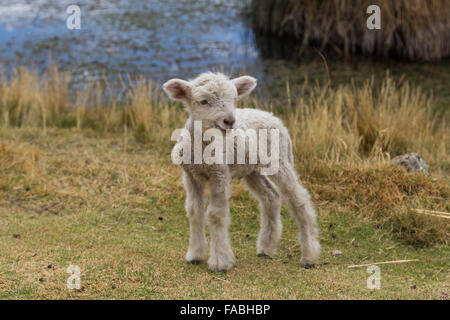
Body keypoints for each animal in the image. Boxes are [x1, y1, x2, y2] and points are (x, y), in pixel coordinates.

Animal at [162, 72, 320, 272]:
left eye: (234, 99)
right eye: (203, 101)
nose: (230, 121)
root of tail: (273, 116)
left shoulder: (219, 174)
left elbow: (215, 215)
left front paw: (220, 262)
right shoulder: (191, 175)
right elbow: (194, 212)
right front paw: (195, 255)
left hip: (280, 161)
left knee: (300, 200)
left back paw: (309, 256)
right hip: (253, 169)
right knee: (271, 196)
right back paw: (266, 248)